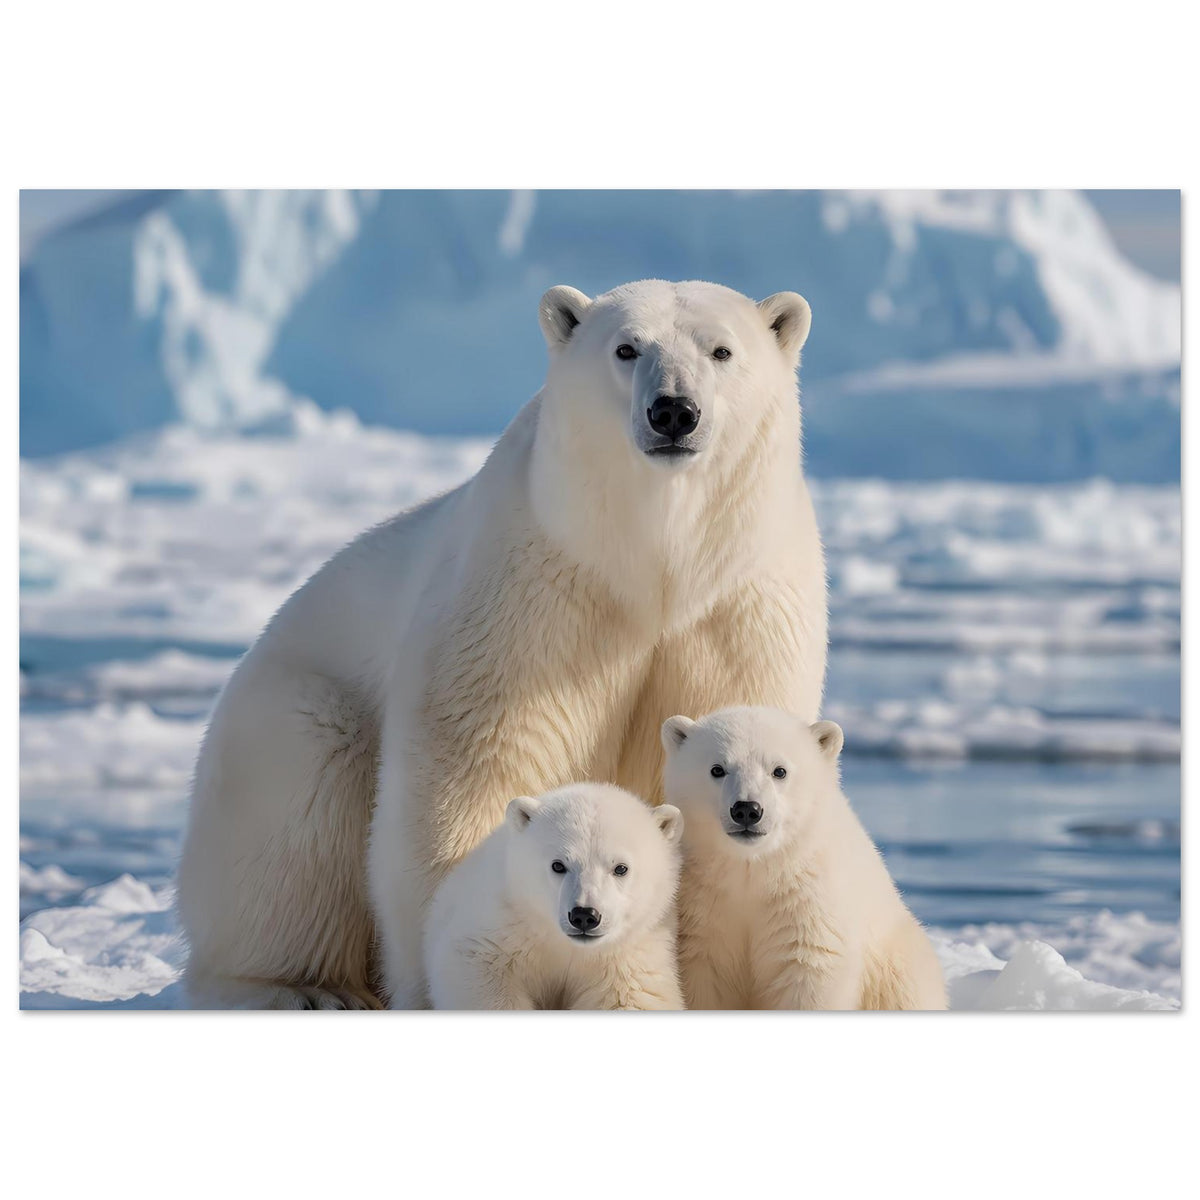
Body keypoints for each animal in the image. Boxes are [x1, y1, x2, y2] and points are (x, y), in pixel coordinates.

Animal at [423, 782, 685, 1010]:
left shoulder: (629, 955)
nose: (584, 916)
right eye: (558, 865)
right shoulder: (503, 924)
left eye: (621, 868)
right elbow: (477, 966)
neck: (565, 945)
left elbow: (633, 997)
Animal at [661, 707, 947, 1011]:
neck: (754, 868)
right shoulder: (704, 906)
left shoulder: (808, 901)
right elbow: (706, 978)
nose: (747, 809)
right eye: (717, 769)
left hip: (896, 967)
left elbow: (810, 971)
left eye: (779, 770)